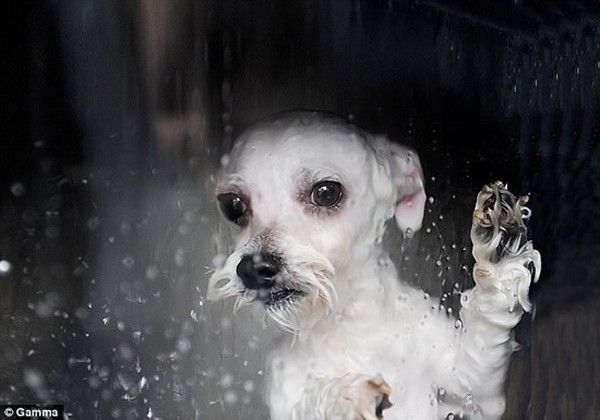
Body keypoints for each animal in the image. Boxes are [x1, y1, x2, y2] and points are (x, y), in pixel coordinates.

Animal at [205, 111, 540, 420]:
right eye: (232, 205)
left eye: (326, 192)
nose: (252, 269)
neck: (352, 326)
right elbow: (313, 401)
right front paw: (343, 395)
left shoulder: (477, 389)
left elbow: (485, 337)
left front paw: (500, 251)